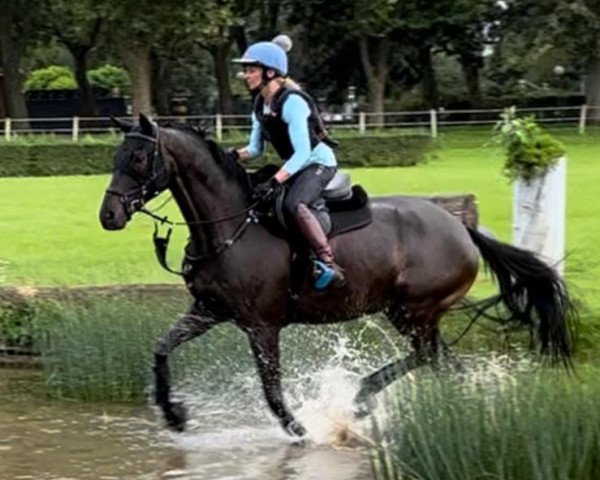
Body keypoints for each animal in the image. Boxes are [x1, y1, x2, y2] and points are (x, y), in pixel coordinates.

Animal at [98, 114, 576, 436]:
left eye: (138, 157)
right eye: (116, 155)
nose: (108, 216)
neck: (230, 227)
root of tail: (462, 228)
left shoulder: (261, 326)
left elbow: (272, 391)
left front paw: (302, 432)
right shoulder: (207, 311)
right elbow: (161, 349)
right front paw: (174, 414)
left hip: (416, 310)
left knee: (427, 356)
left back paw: (365, 399)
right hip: (409, 313)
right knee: (439, 360)